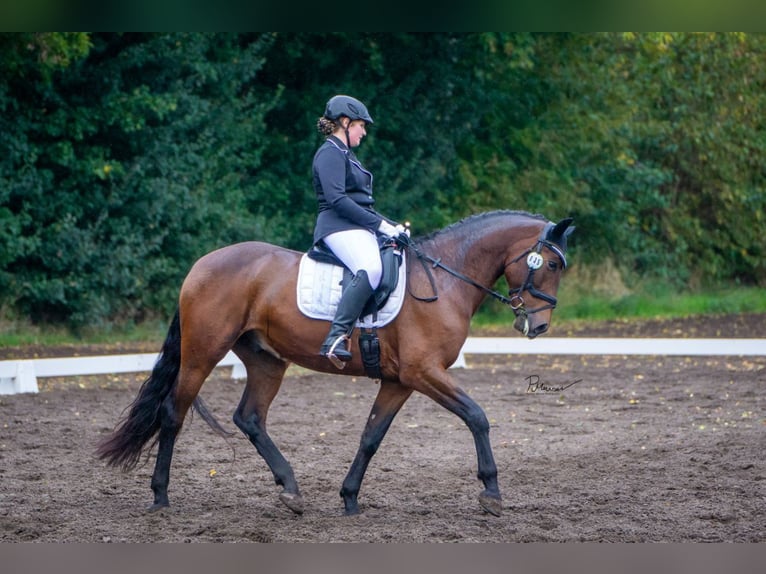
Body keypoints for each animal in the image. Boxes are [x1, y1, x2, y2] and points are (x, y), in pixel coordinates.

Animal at [97, 210, 574, 517]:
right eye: (550, 263)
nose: (539, 326)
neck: (446, 278)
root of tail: (200, 265)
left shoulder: (400, 381)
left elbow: (371, 437)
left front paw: (350, 498)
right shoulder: (424, 372)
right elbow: (477, 416)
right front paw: (491, 493)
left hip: (267, 361)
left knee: (249, 417)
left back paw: (291, 491)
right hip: (202, 353)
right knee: (172, 414)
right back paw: (160, 496)